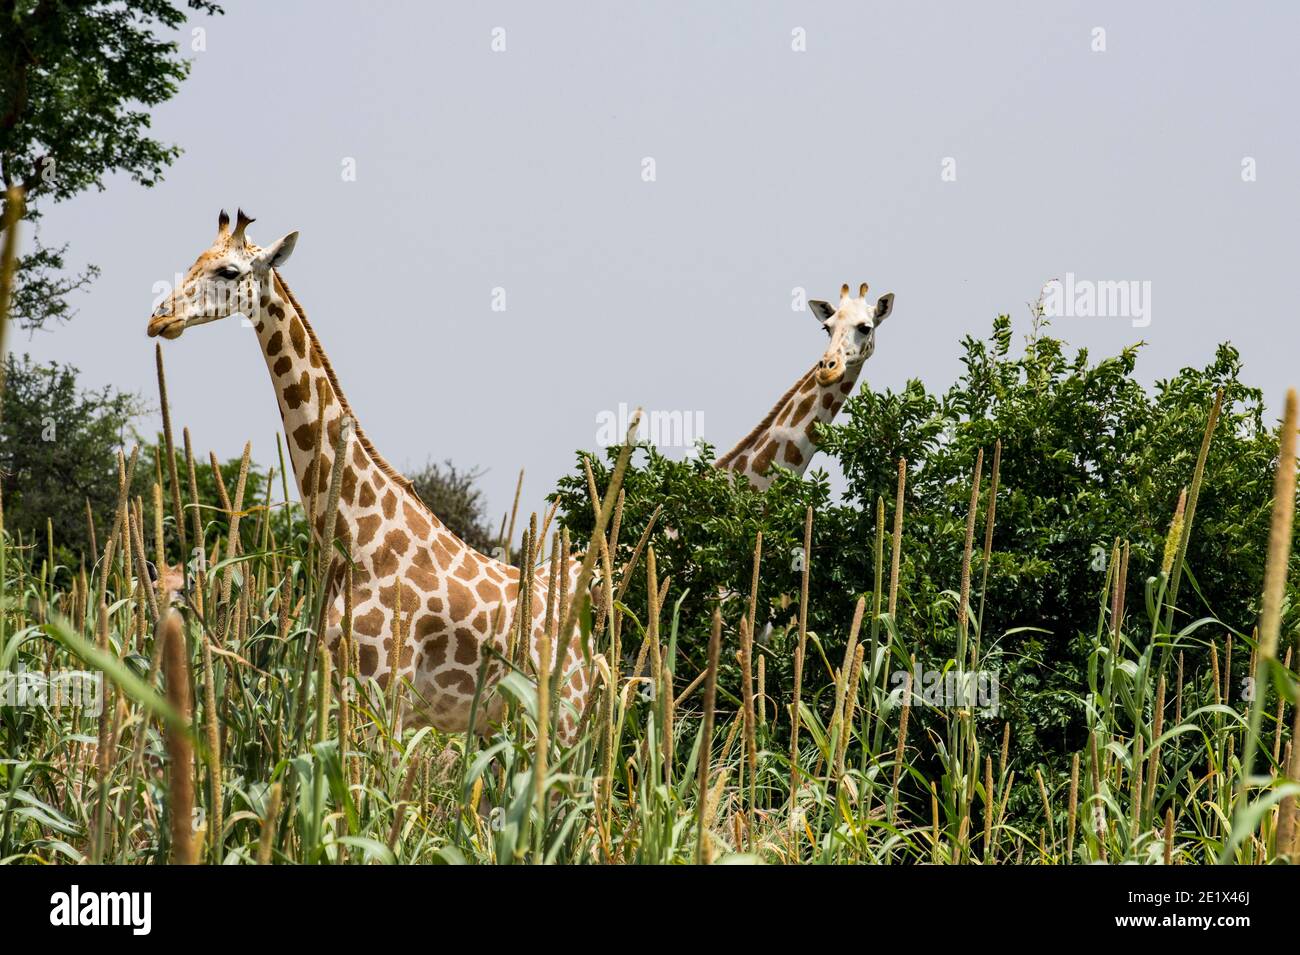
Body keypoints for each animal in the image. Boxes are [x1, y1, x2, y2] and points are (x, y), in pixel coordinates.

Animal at [147, 211, 591, 742]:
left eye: (228, 271)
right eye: (194, 260)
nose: (158, 317)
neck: (354, 541)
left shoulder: (386, 691)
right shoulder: (342, 683)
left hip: (564, 717)